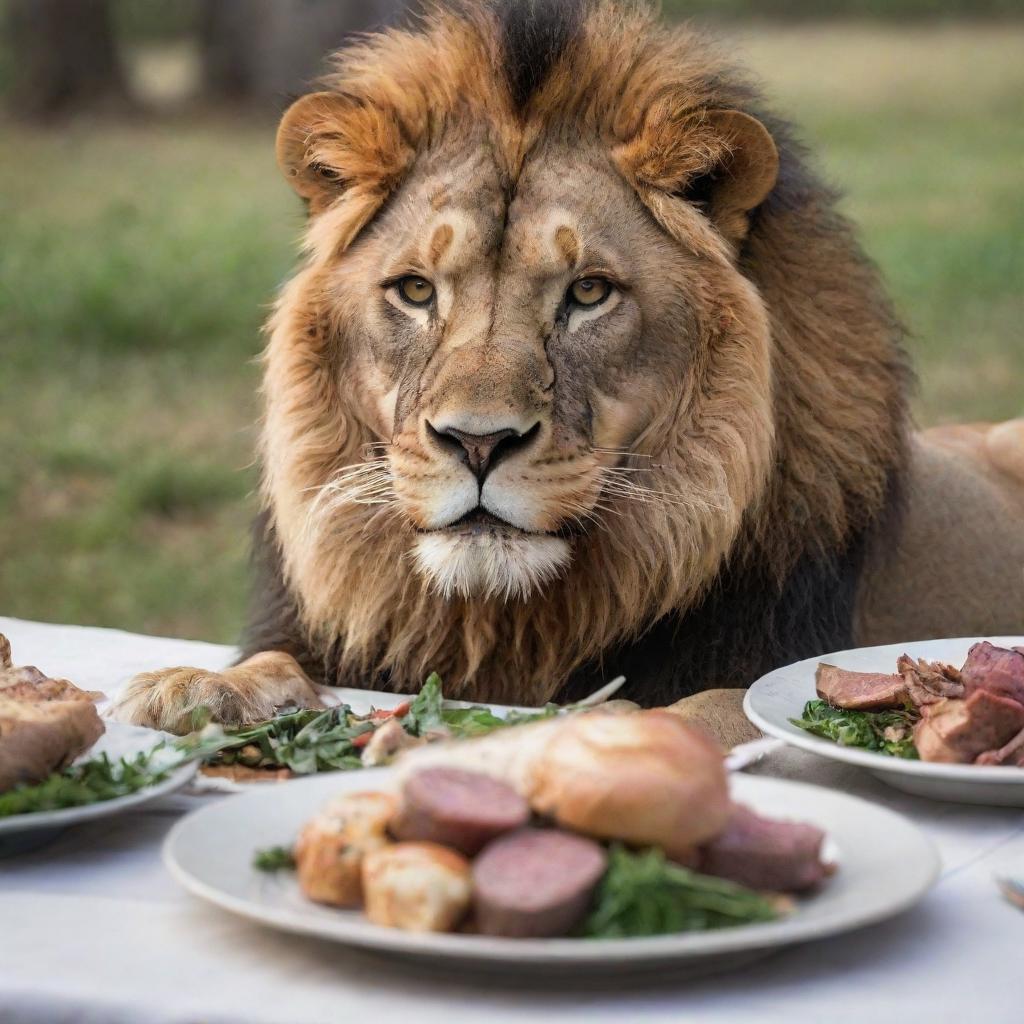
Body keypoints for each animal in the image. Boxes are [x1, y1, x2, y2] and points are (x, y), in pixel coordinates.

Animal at [108, 0, 1019, 741]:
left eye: (588, 293)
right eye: (415, 290)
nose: (478, 444)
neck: (500, 622)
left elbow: (706, 710)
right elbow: (271, 661)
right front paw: (200, 687)